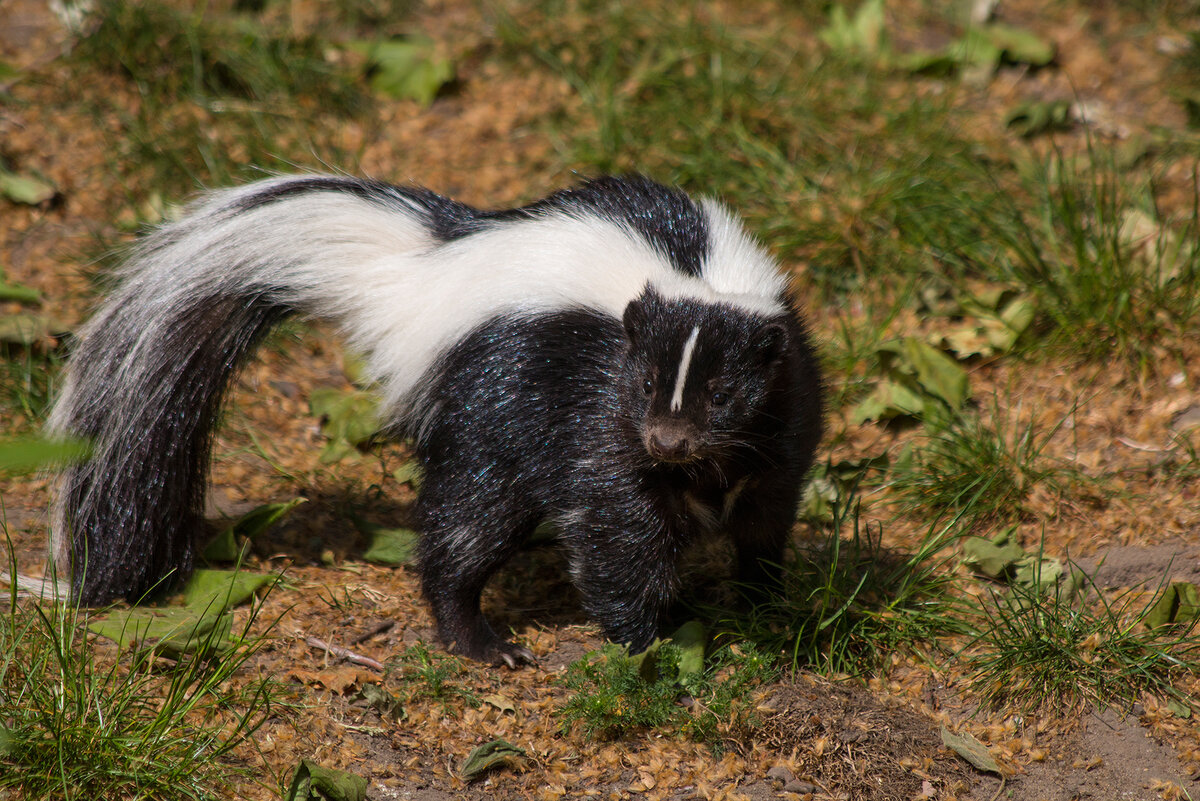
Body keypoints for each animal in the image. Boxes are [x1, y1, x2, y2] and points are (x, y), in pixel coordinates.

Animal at [54, 173, 825, 661]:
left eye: (723, 392)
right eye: (641, 382)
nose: (667, 440)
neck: (696, 275)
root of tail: (418, 278)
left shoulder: (782, 421)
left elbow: (765, 519)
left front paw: (766, 604)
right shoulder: (593, 409)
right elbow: (616, 529)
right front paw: (650, 643)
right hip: (492, 405)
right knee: (464, 526)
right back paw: (479, 641)